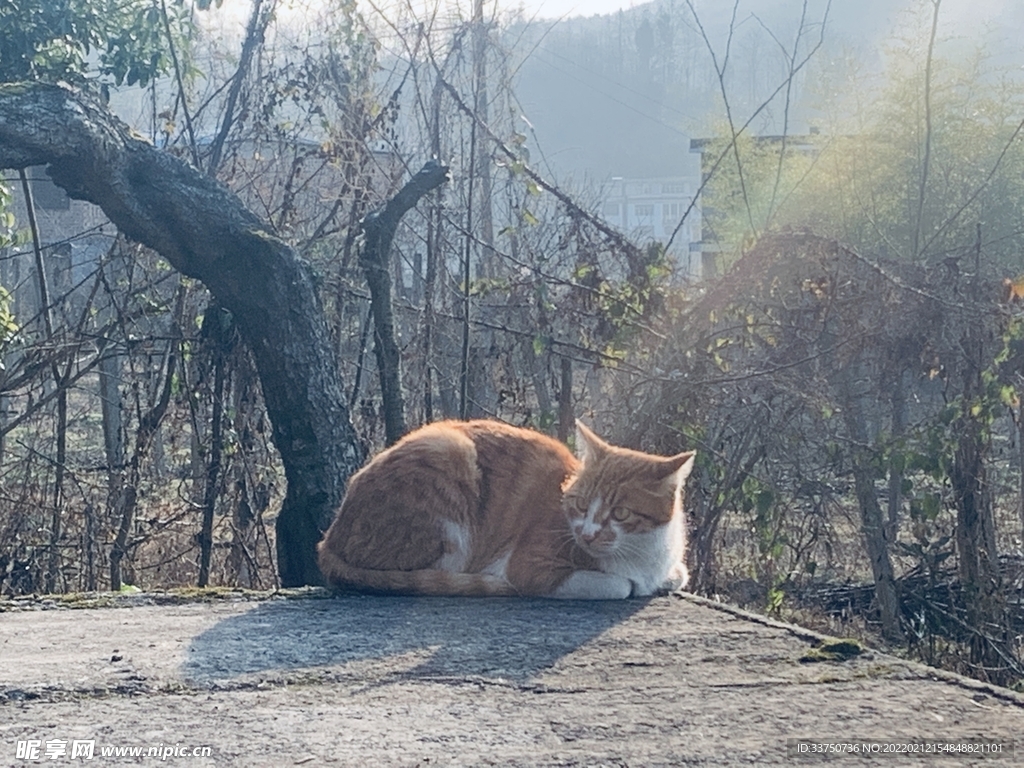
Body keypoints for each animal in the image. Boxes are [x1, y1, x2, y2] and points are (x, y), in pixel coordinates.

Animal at [315, 421, 692, 602]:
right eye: (582, 504)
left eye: (621, 514)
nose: (587, 535)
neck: (644, 557)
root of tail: (327, 541)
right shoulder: (529, 566)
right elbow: (620, 586)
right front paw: (629, 584)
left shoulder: (672, 566)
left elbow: (679, 574)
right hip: (449, 456)